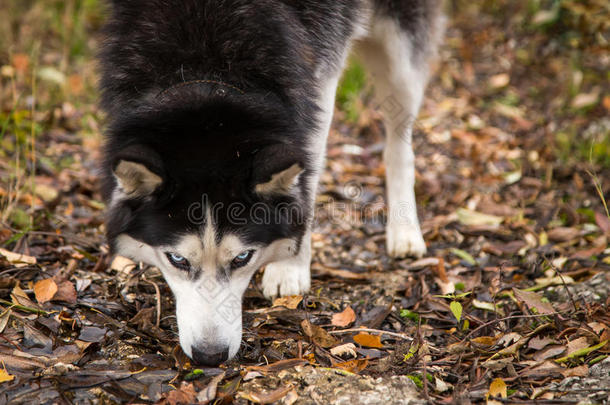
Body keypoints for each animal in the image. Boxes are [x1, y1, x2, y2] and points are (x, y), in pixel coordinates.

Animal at [100, 0, 442, 364]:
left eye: (242, 258)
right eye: (177, 260)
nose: (210, 356)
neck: (206, 66)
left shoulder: (316, 79)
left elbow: (307, 181)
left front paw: (289, 266)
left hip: (400, 54)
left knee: (399, 141)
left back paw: (404, 231)